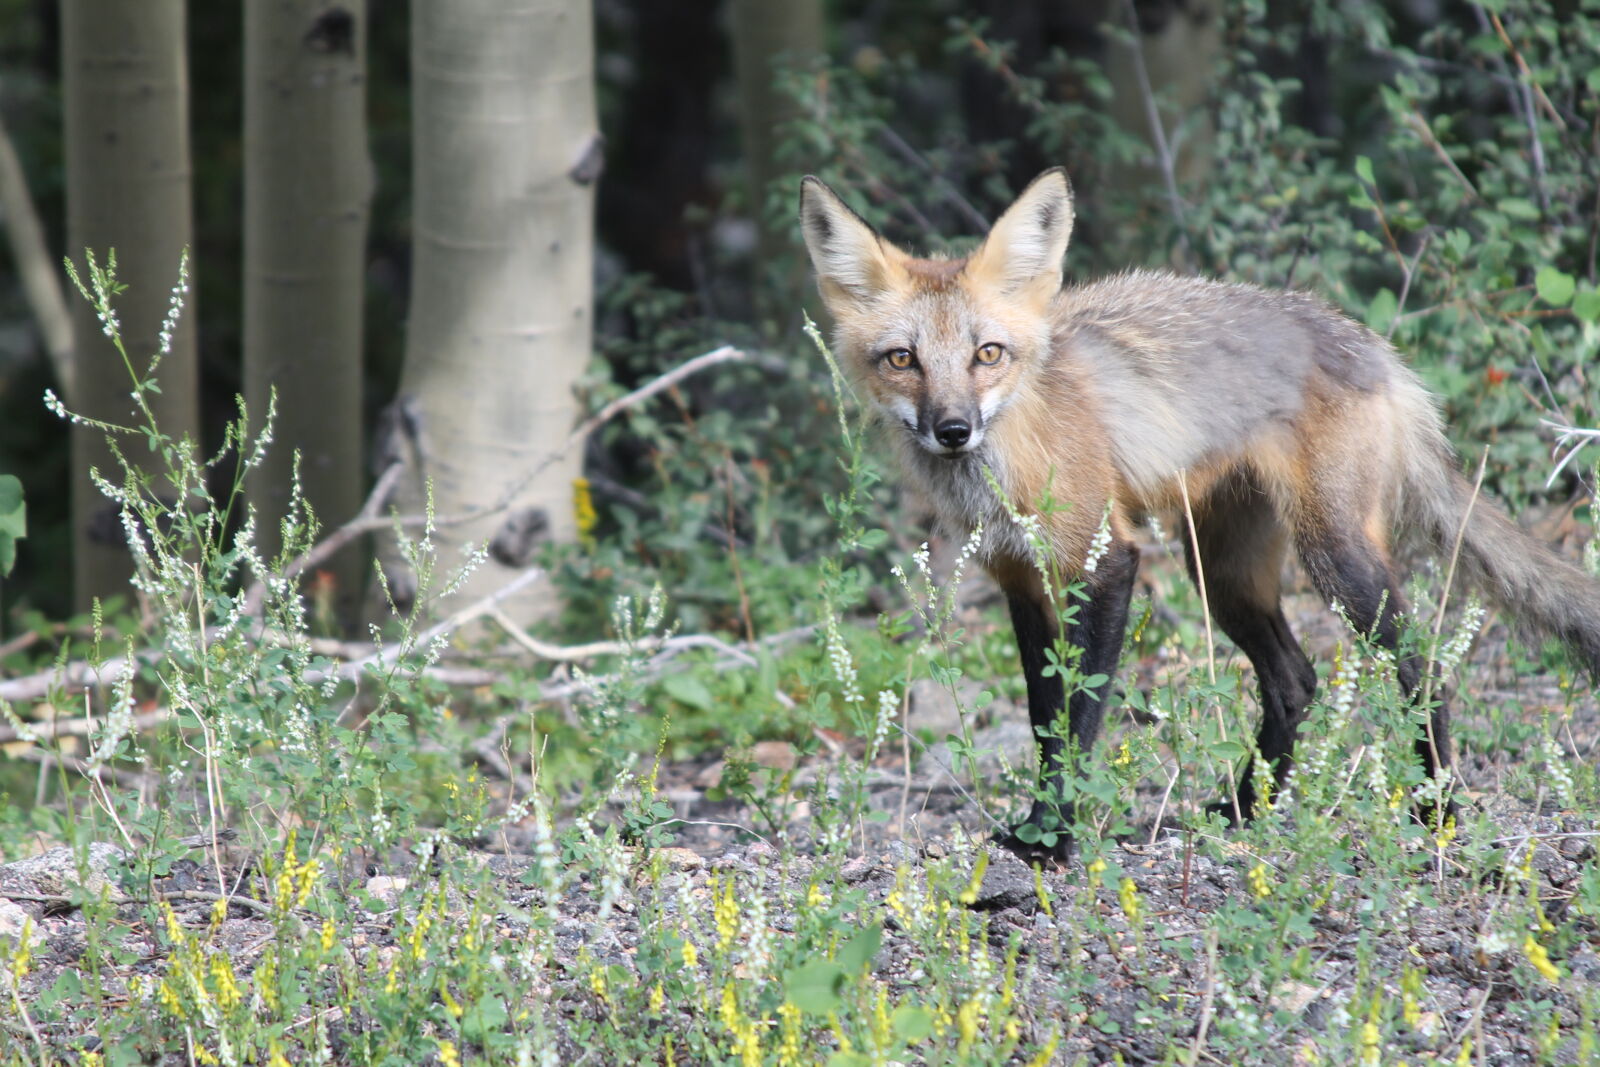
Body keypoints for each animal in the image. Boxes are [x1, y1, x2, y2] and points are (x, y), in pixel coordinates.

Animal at [796, 168, 1600, 870]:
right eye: (903, 359)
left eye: (987, 353)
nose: (953, 430)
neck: (1012, 460)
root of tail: (1378, 350)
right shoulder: (1020, 580)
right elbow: (1043, 718)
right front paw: (1038, 825)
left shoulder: (1104, 562)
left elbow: (1080, 718)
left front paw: (1057, 837)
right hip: (1223, 573)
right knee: (1295, 680)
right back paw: (1247, 809)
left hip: (1335, 558)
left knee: (1426, 669)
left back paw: (1436, 809)